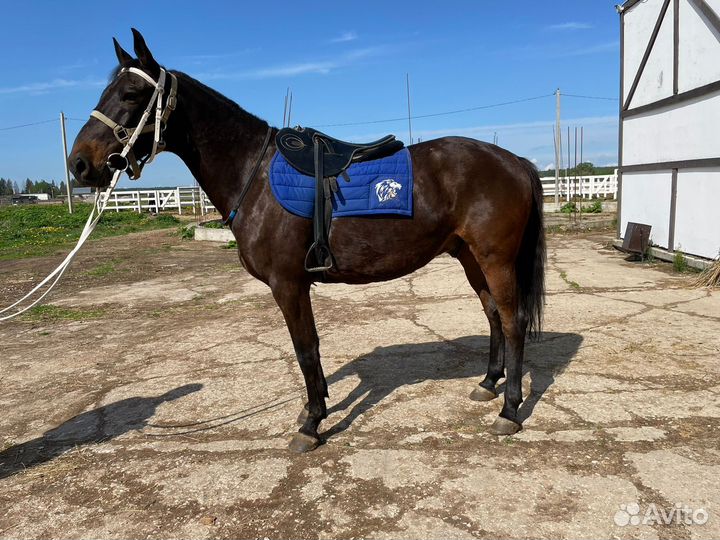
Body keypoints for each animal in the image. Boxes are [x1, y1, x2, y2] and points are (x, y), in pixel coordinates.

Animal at [68, 29, 546, 453]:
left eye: (131, 94)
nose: (79, 165)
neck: (254, 174)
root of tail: (514, 160)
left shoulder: (289, 284)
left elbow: (306, 349)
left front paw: (312, 423)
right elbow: (308, 351)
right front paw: (312, 413)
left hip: (495, 259)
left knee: (512, 320)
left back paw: (509, 410)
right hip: (470, 257)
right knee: (492, 315)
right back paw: (488, 383)